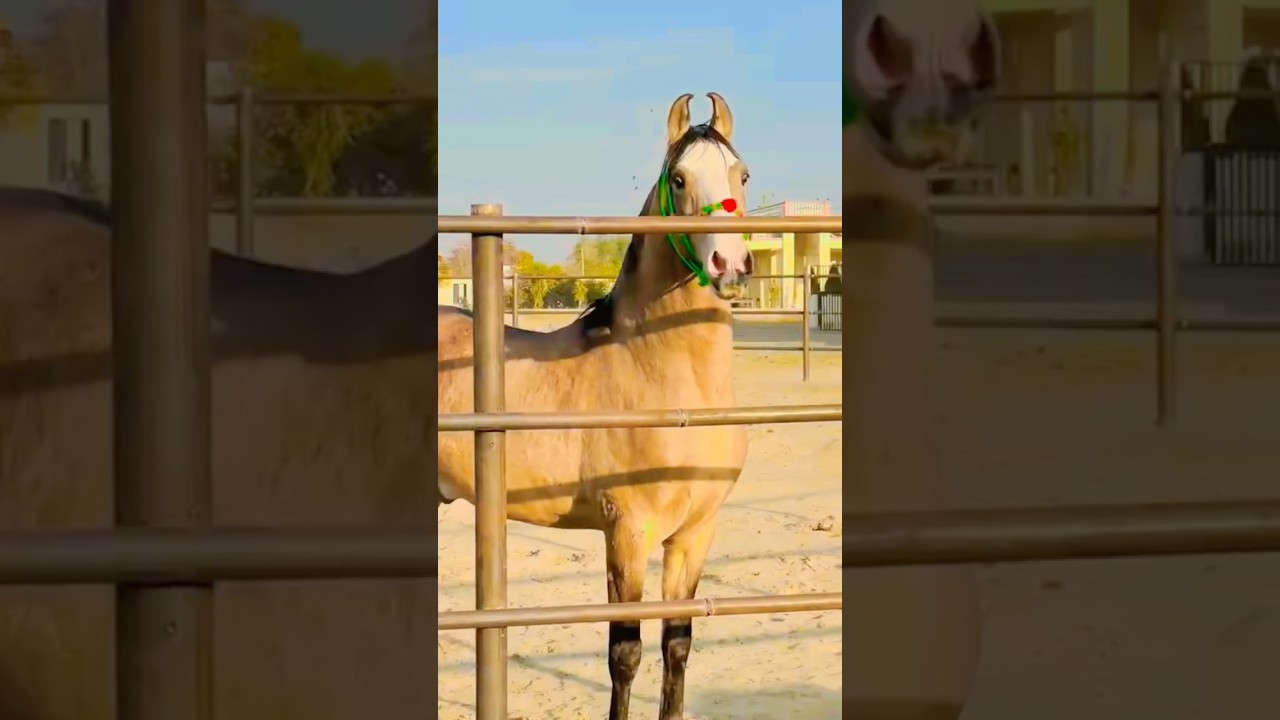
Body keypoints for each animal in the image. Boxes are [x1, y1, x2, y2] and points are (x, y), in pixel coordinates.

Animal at [437, 92, 754, 720]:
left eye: (742, 175)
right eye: (679, 179)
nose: (730, 266)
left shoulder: (694, 534)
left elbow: (677, 646)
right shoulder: (627, 531)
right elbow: (624, 654)